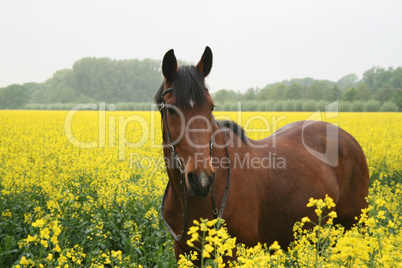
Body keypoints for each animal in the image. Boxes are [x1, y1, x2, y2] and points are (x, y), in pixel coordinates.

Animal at [155, 46, 370, 262]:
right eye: (171, 110)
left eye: (211, 106)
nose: (202, 180)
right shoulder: (183, 252)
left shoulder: (234, 254)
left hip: (354, 226)